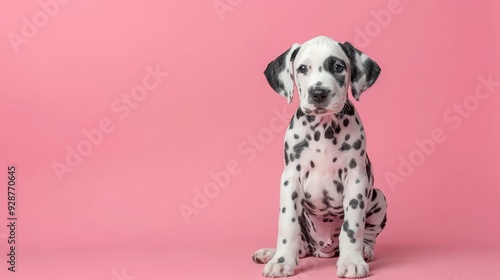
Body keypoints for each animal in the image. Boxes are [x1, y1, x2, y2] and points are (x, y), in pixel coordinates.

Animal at [252, 35, 388, 278]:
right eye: (302, 68)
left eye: (338, 67)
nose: (318, 93)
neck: (323, 129)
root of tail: (322, 250)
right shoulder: (290, 180)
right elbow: (287, 224)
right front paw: (281, 260)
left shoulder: (356, 179)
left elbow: (352, 226)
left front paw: (351, 260)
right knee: (301, 244)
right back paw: (272, 252)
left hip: (379, 197)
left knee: (369, 233)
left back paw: (364, 250)